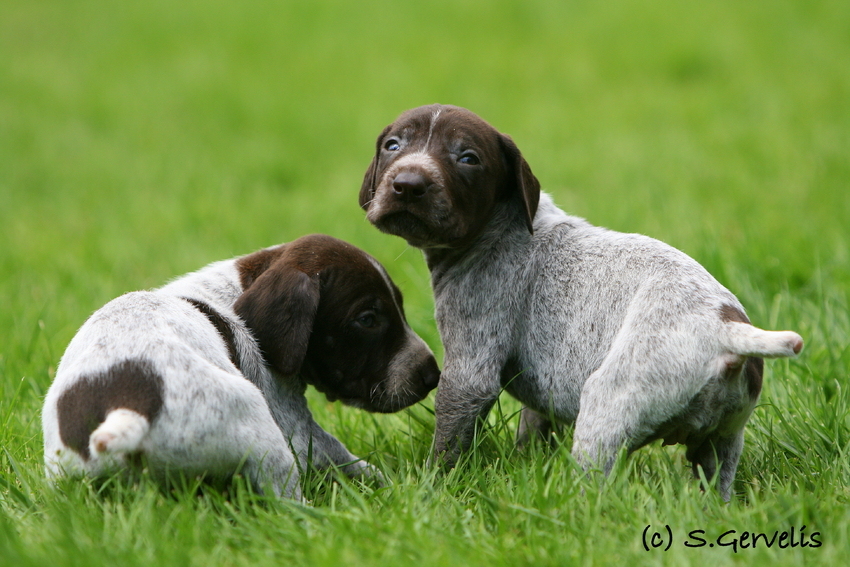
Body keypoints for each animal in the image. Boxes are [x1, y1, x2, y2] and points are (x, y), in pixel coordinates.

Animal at [41, 233, 438, 500]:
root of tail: (127, 409)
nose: (433, 375)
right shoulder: (295, 425)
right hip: (263, 435)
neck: (235, 288)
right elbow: (348, 459)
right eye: (368, 319)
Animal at [358, 104, 800, 500]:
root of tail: (725, 328)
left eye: (468, 158)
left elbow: (450, 441)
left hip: (608, 408)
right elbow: (533, 428)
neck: (504, 226)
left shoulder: (471, 364)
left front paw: (432, 488)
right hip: (723, 440)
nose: (408, 184)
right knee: (718, 481)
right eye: (393, 145)